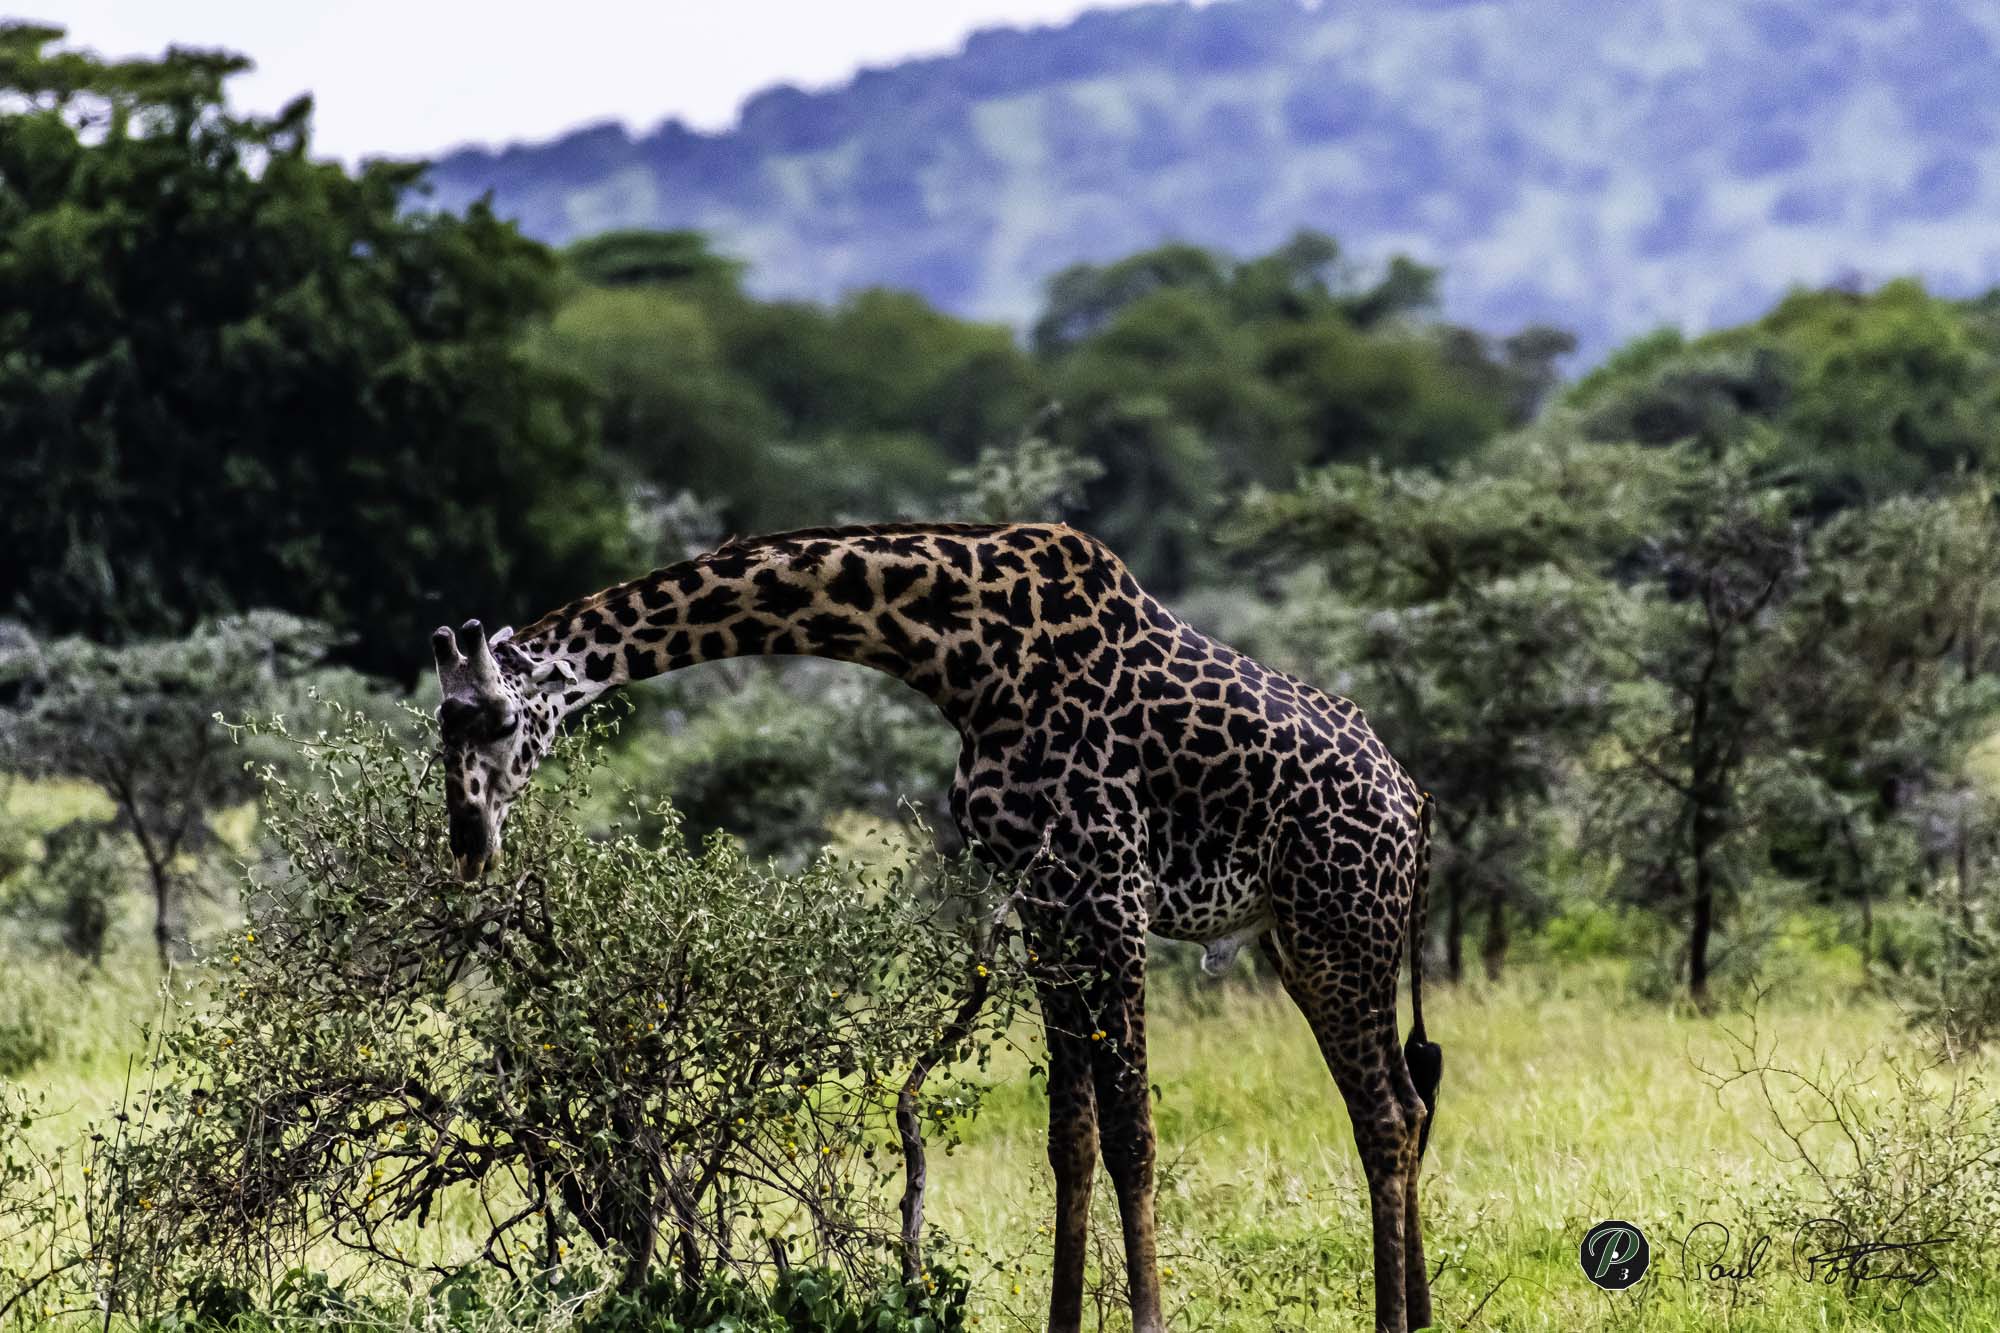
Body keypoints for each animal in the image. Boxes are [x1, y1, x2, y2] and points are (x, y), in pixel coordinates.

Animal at [429, 521, 1443, 1333]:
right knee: (1407, 1097)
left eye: (492, 717)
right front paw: (1063, 1322)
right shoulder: (1046, 898)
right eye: (438, 723)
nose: (468, 843)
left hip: (1340, 926)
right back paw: (1421, 1313)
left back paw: (1394, 1321)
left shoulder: (1112, 887)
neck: (960, 652)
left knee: (1387, 1113)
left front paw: (1147, 1321)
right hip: (1303, 941)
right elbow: (1071, 1136)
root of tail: (1416, 802)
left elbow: (1132, 1132)